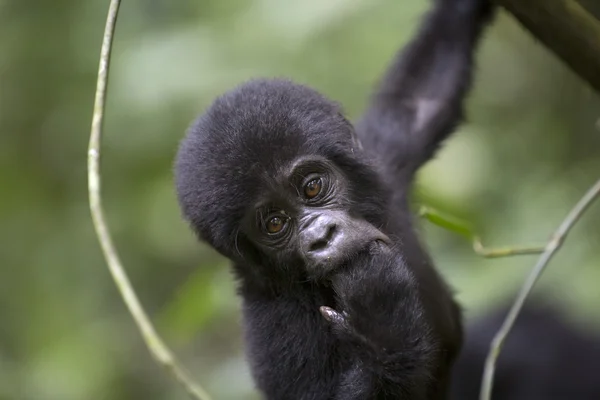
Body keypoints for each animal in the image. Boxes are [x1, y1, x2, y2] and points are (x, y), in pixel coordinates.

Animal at [173, 0, 492, 396]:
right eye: (274, 223)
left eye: (312, 187)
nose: (321, 236)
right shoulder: (275, 321)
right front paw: (382, 318)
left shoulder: (382, 166)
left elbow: (420, 99)